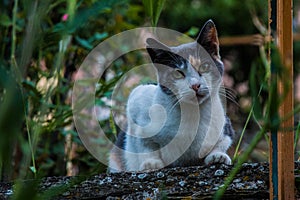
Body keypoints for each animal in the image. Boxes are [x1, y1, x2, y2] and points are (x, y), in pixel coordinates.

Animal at [109, 19, 236, 172]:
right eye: (177, 73)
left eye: (205, 66)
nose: (195, 85)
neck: (192, 115)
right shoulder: (137, 98)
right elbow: (143, 144)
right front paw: (151, 163)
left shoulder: (225, 125)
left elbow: (223, 141)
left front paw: (217, 156)